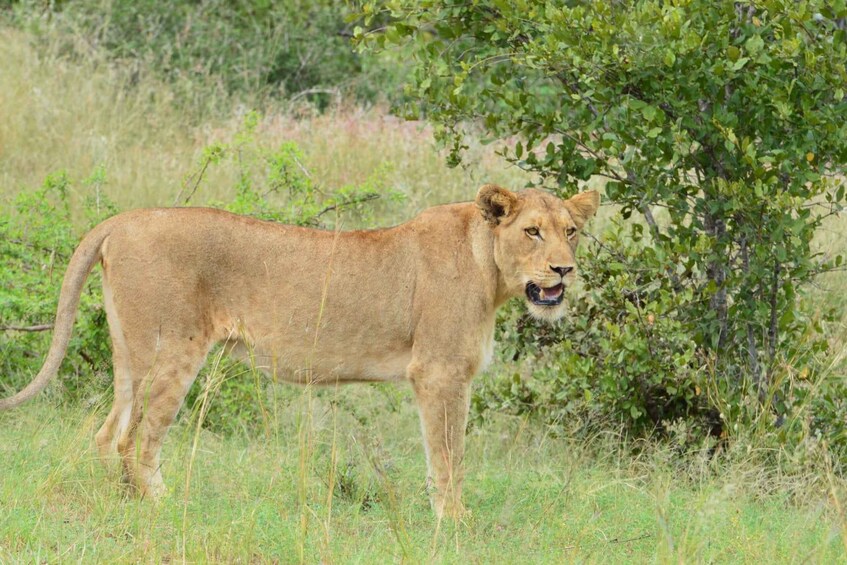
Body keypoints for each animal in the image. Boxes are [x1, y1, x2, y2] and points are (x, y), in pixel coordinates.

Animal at [0, 184, 599, 517]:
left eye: (571, 230)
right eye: (532, 232)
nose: (564, 270)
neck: (489, 269)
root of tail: (121, 220)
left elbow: (448, 457)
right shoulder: (439, 374)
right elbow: (448, 457)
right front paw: (454, 524)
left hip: (130, 354)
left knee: (107, 433)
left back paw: (118, 503)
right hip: (172, 351)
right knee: (135, 440)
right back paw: (164, 510)